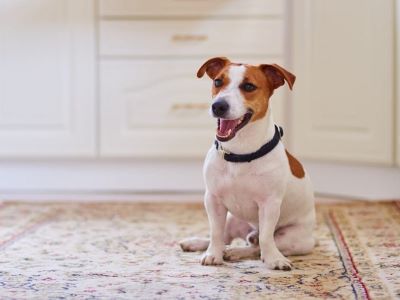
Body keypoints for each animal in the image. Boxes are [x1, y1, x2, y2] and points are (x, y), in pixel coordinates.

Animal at [179, 57, 316, 270]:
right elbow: (215, 233)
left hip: (292, 238)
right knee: (227, 237)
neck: (240, 153)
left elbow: (266, 238)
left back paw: (237, 252)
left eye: (249, 86)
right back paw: (199, 244)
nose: (218, 106)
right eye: (218, 81)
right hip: (232, 219)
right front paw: (212, 255)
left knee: (257, 246)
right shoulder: (213, 199)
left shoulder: (269, 204)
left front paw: (274, 260)